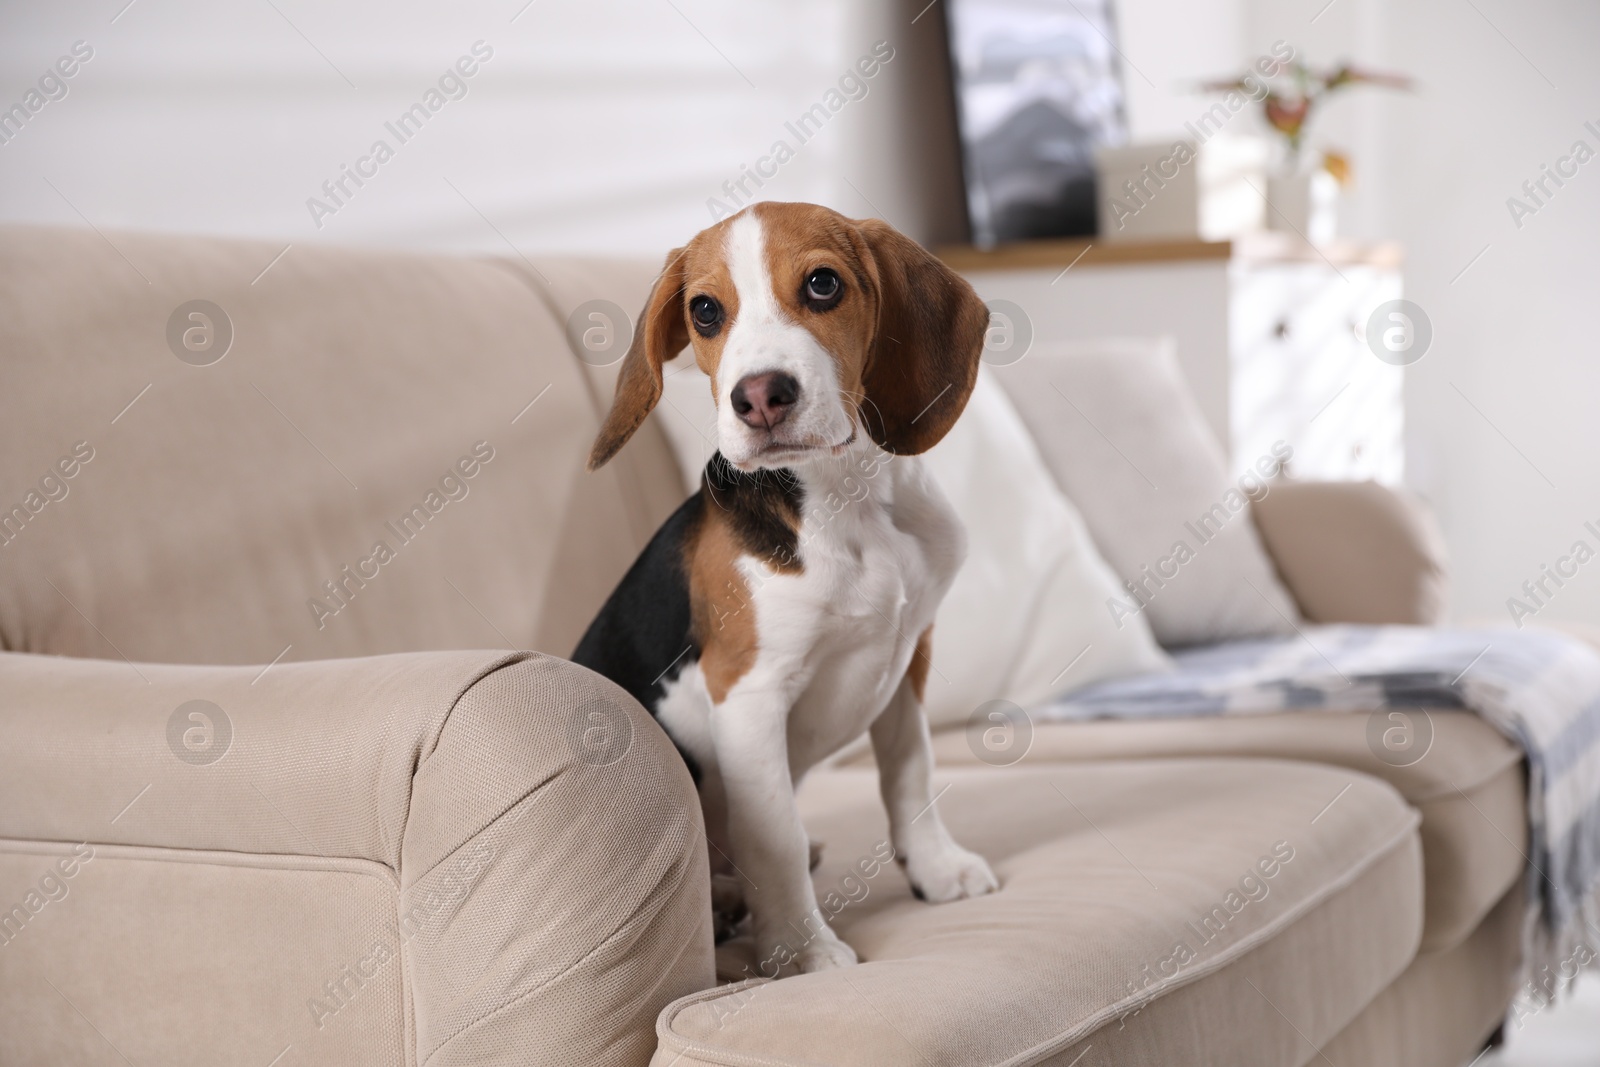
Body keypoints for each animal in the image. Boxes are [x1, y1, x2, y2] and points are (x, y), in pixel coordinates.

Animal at [576, 199, 998, 979]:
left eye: (823, 285)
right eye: (705, 310)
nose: (760, 398)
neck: (849, 499)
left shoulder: (908, 659)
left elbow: (909, 772)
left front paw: (935, 867)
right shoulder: (748, 693)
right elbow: (774, 837)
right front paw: (803, 951)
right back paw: (723, 903)